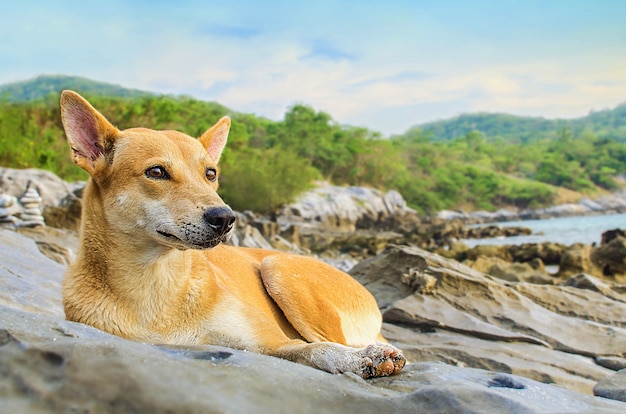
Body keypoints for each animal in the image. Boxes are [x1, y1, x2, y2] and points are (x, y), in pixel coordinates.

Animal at [58, 90, 404, 378]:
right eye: (156, 172)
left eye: (210, 173)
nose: (225, 218)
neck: (156, 281)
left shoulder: (271, 341)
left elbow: (319, 349)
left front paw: (361, 358)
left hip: (277, 267)